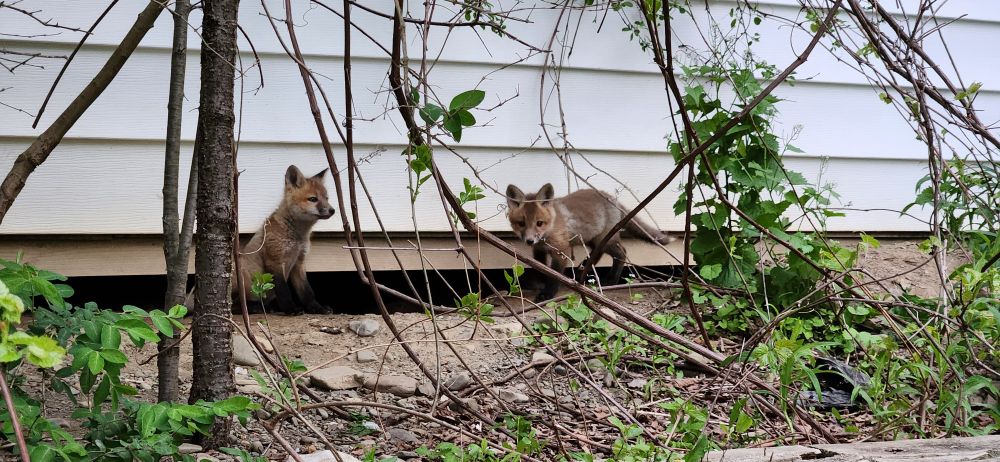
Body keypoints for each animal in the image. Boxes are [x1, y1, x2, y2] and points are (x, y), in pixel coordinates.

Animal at [505, 183, 672, 302]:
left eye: (539, 223)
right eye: (521, 223)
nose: (529, 240)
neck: (551, 227)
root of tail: (612, 198)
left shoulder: (561, 251)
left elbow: (554, 275)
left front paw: (547, 293)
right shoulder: (539, 250)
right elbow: (540, 267)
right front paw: (539, 283)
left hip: (606, 240)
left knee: (621, 253)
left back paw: (611, 280)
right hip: (594, 240)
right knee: (597, 254)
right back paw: (583, 269)